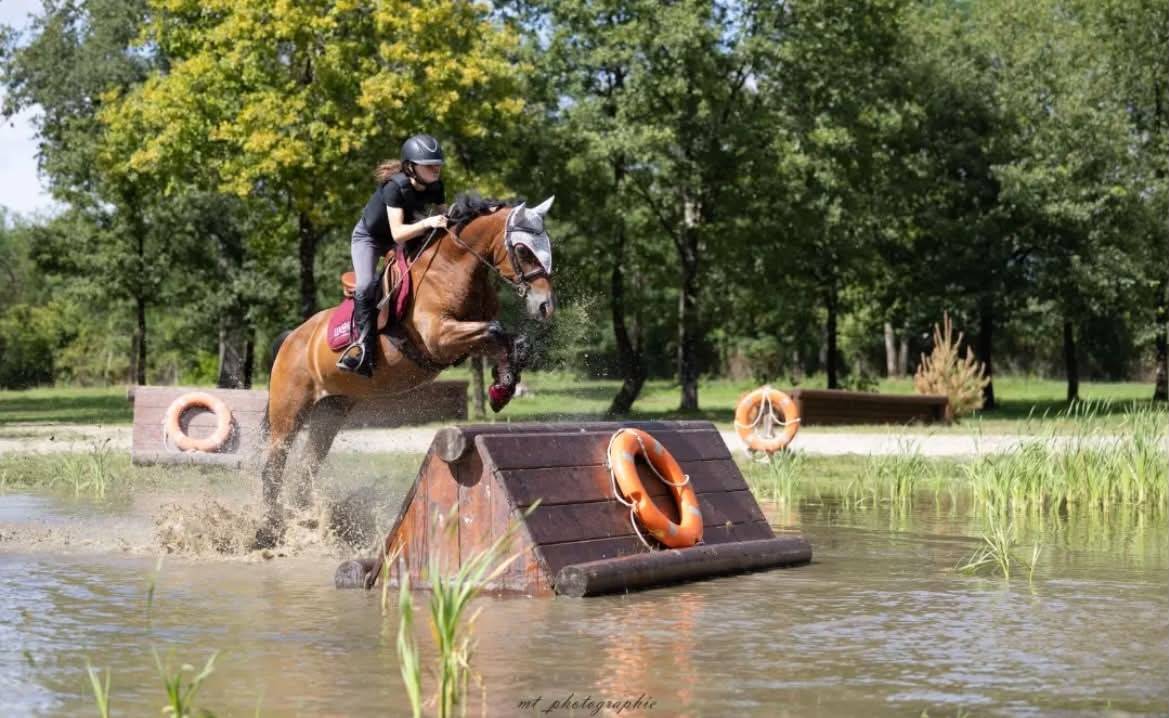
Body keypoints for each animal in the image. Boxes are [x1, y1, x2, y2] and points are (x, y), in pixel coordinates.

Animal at [256, 193, 557, 547]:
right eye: (523, 250)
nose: (545, 306)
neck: (453, 267)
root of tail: (291, 339)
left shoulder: (466, 341)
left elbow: (511, 340)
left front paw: (502, 389)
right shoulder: (440, 338)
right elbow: (497, 331)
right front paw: (503, 385)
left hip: (331, 410)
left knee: (308, 465)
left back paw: (305, 522)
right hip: (289, 411)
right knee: (274, 467)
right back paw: (267, 531)